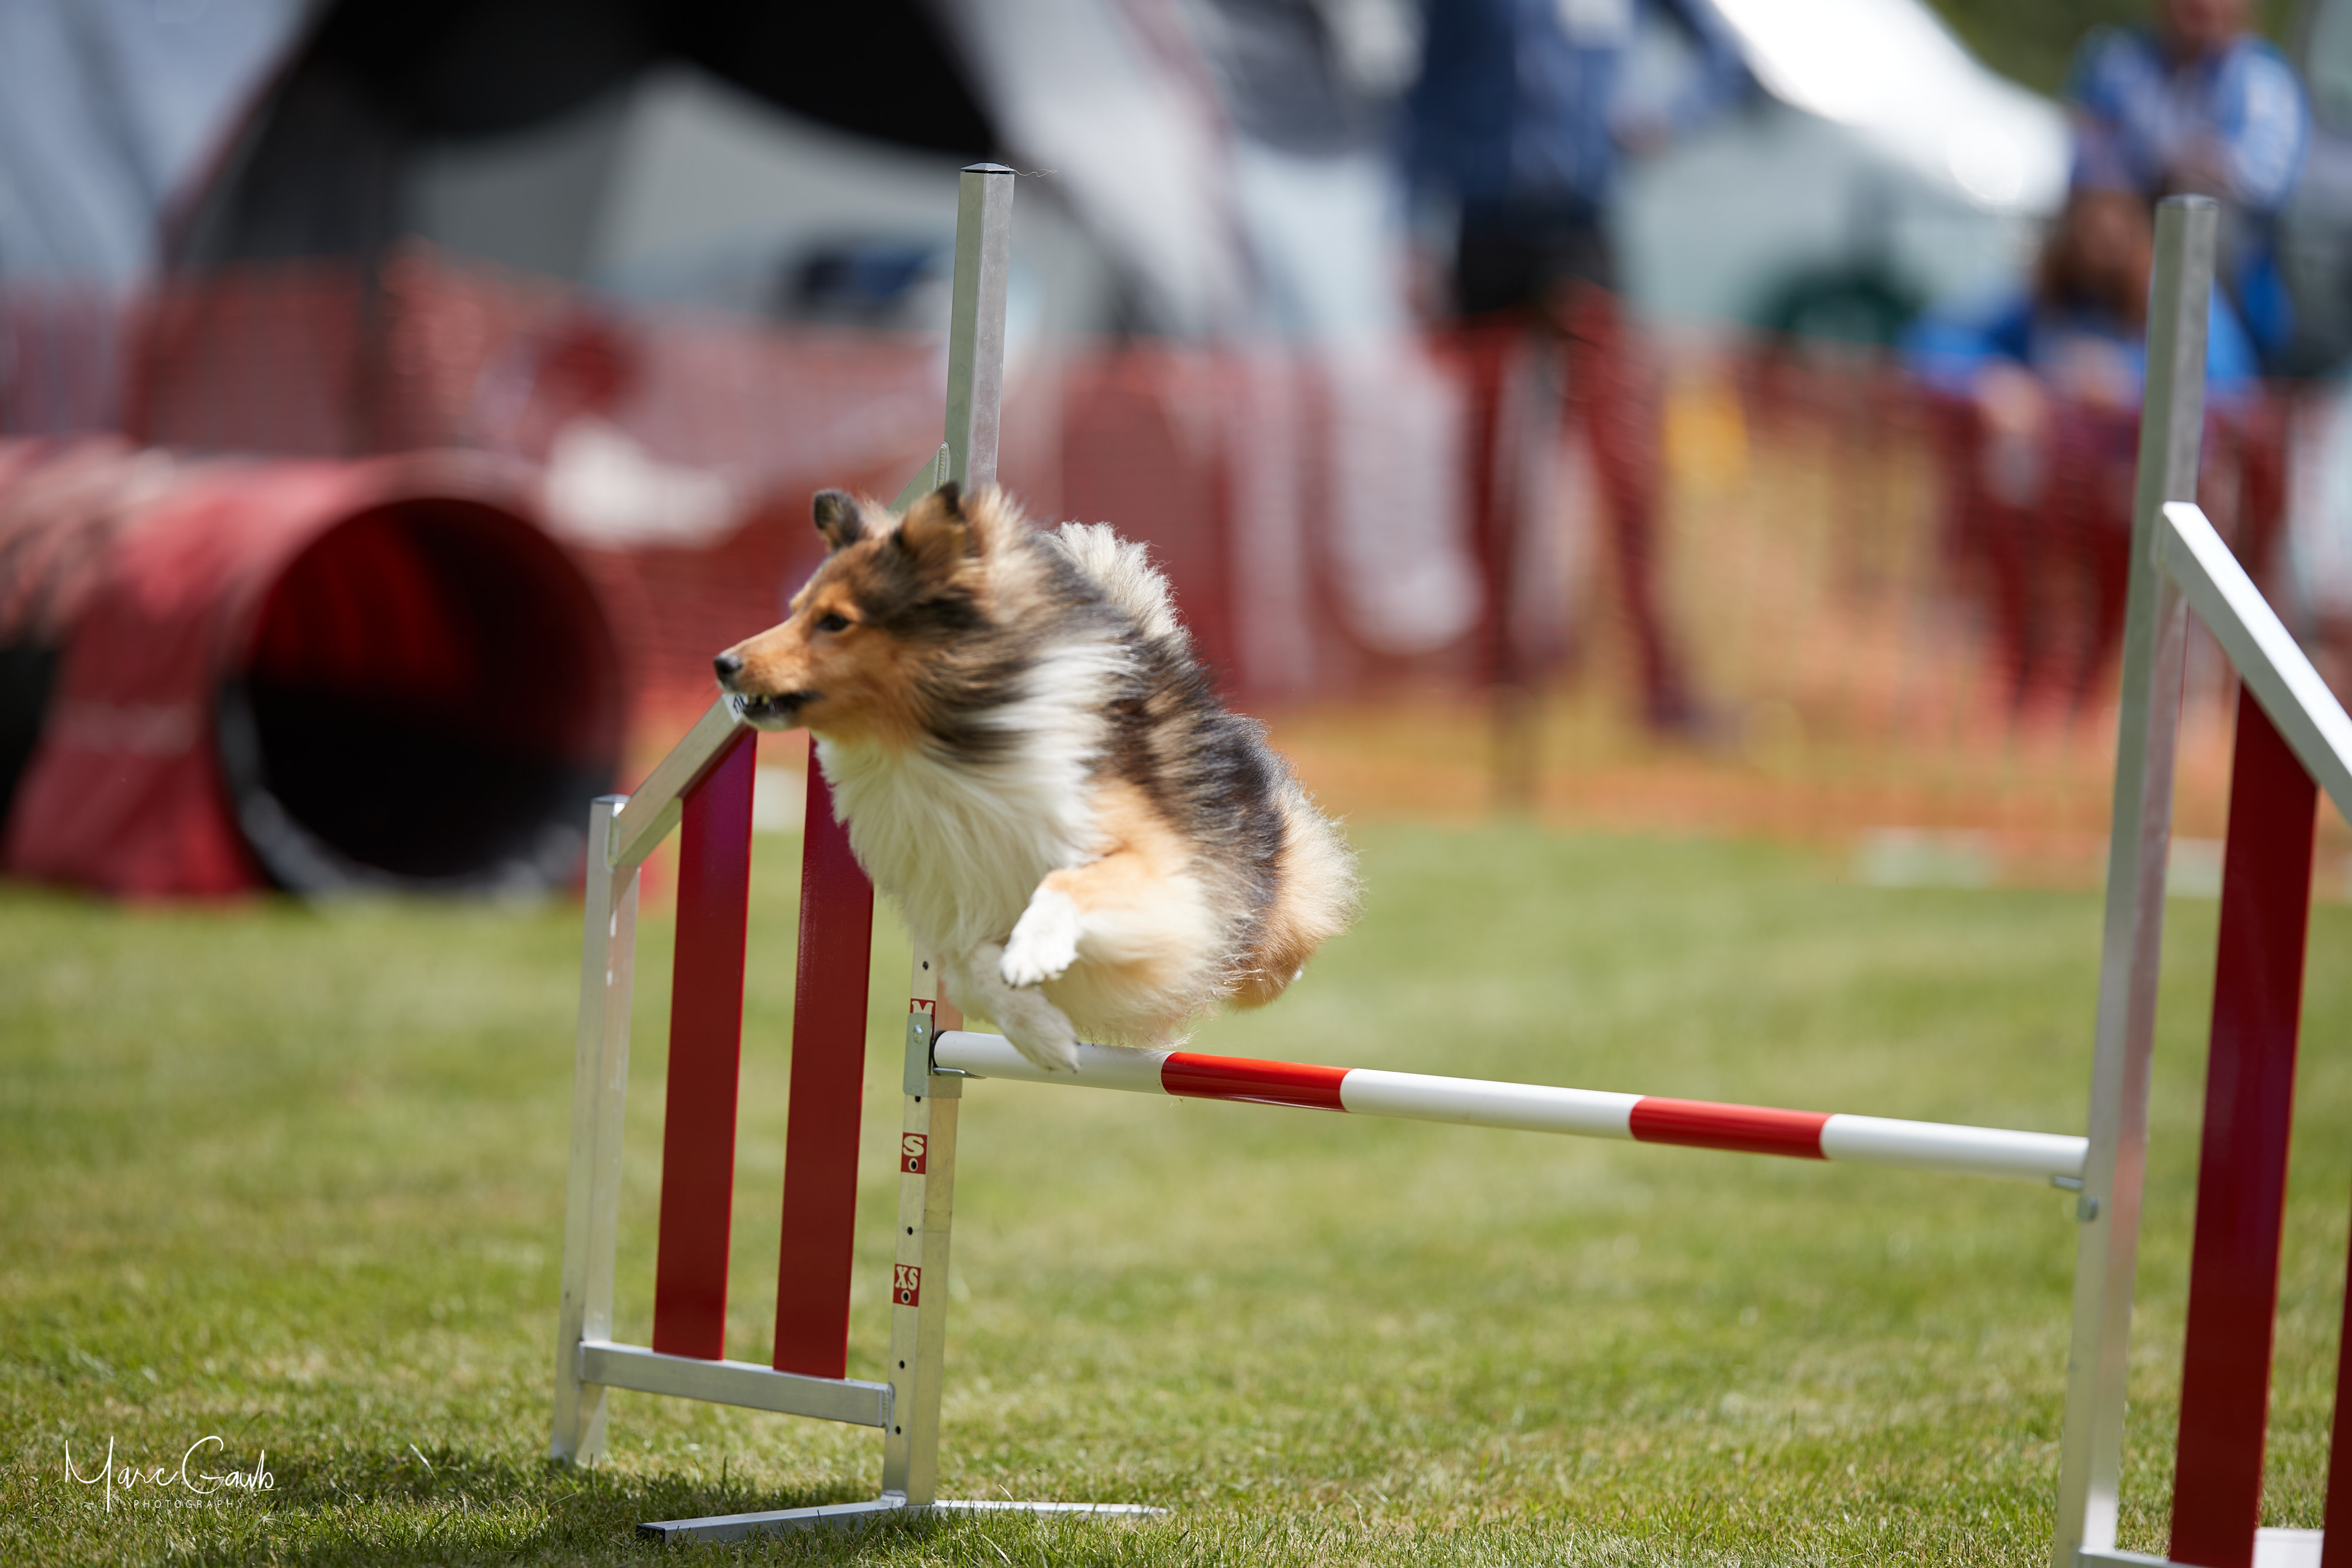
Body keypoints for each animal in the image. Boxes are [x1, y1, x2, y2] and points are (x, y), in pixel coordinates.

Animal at [714, 483, 1359, 1071]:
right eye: (795, 610)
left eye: (835, 622)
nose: (723, 663)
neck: (938, 747)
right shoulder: (951, 896)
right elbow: (974, 966)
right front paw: (1042, 1035)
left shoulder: (1161, 874)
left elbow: (1068, 883)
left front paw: (1034, 951)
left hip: (1254, 912)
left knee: (1273, 953)